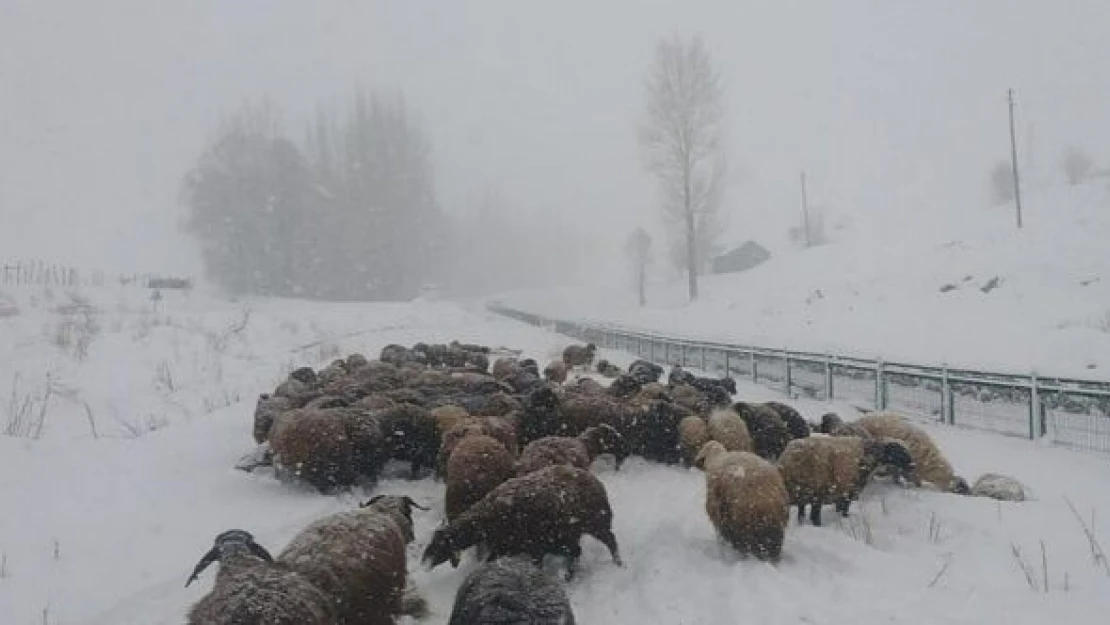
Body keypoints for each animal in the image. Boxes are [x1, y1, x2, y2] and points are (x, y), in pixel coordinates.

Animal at [421, 464, 621, 581]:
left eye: (440, 545)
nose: (424, 564)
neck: (487, 519)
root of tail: (594, 480)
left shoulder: (534, 546)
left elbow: (536, 565)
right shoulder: (505, 546)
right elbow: (489, 562)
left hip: (598, 523)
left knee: (610, 541)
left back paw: (618, 564)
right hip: (571, 533)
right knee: (576, 551)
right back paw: (569, 574)